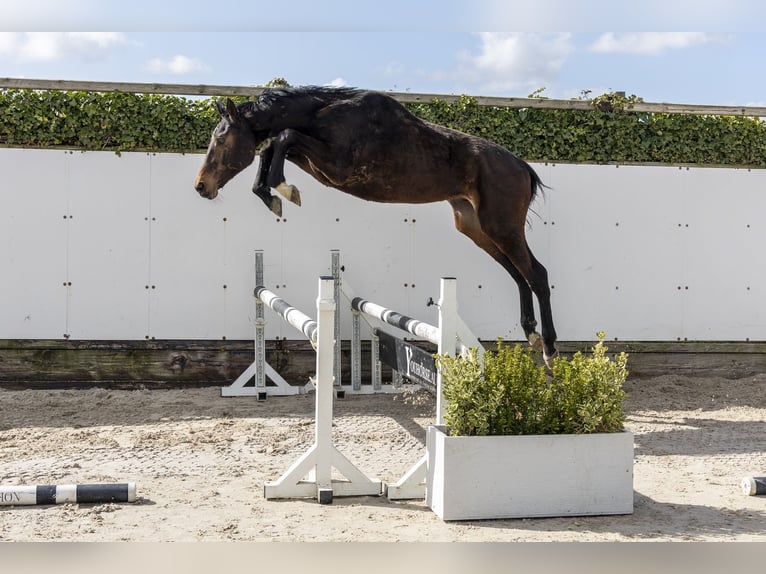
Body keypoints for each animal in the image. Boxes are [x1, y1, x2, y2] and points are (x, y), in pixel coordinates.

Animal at [194, 86, 558, 363]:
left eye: (221, 140)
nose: (201, 186)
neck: (325, 115)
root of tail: (522, 167)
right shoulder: (318, 164)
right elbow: (275, 145)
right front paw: (273, 193)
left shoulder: (335, 165)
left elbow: (283, 137)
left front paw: (282, 190)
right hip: (475, 228)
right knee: (518, 274)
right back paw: (531, 333)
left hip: (501, 226)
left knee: (536, 273)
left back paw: (550, 348)